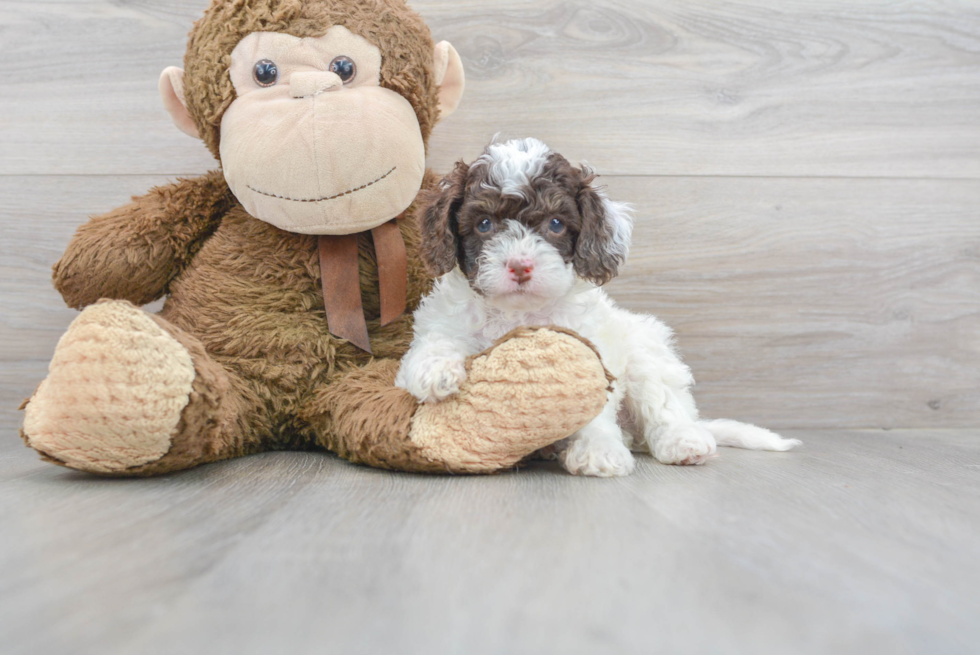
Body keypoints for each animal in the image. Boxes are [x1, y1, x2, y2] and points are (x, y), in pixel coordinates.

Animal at [394, 138, 800, 476]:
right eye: (483, 224)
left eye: (556, 223)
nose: (521, 266)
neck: (521, 312)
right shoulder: (445, 321)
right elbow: (438, 340)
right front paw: (434, 370)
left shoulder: (591, 353)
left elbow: (594, 408)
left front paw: (598, 451)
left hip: (646, 351)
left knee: (666, 405)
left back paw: (683, 442)